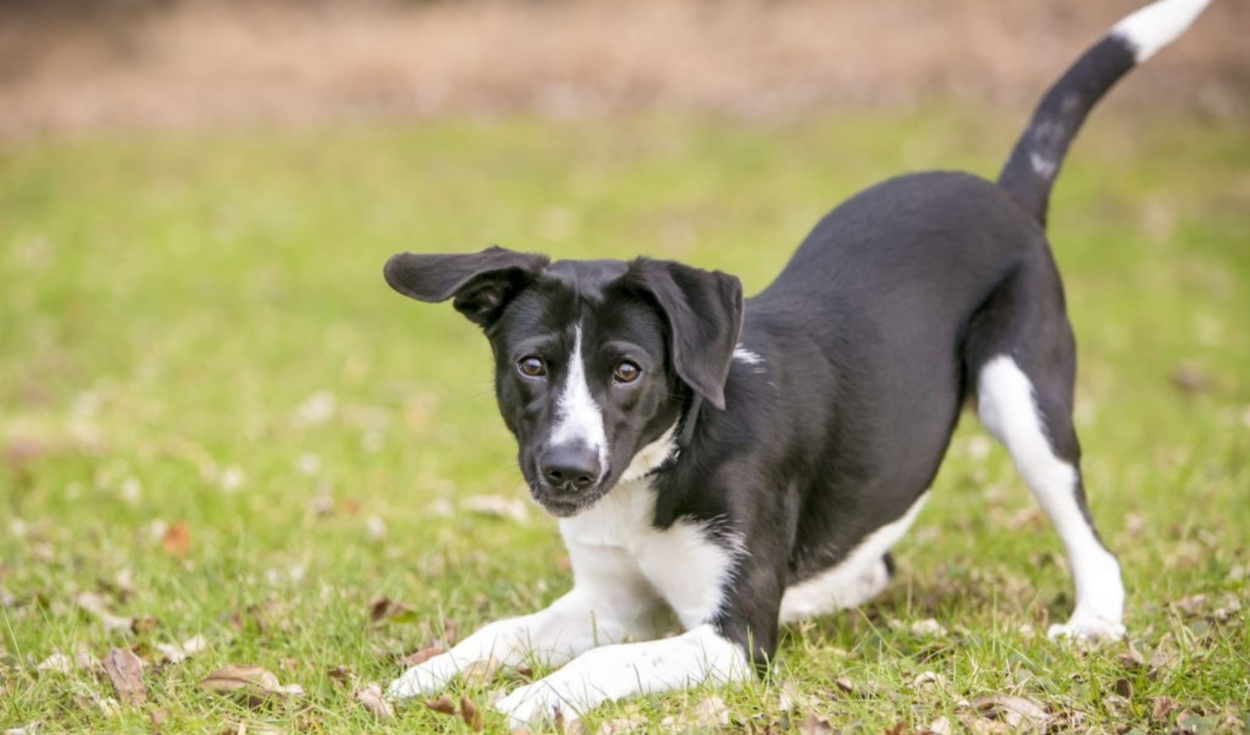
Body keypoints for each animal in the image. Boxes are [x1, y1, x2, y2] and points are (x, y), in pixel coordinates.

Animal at [380, 0, 1210, 725]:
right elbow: (502, 630)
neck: (667, 461)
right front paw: (421, 677)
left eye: (626, 370)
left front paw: (528, 699)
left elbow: (607, 660)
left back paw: (1094, 619)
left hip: (1022, 392)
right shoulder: (610, 600)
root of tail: (1005, 193)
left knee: (1089, 537)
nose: (568, 472)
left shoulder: (735, 637)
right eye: (531, 364)